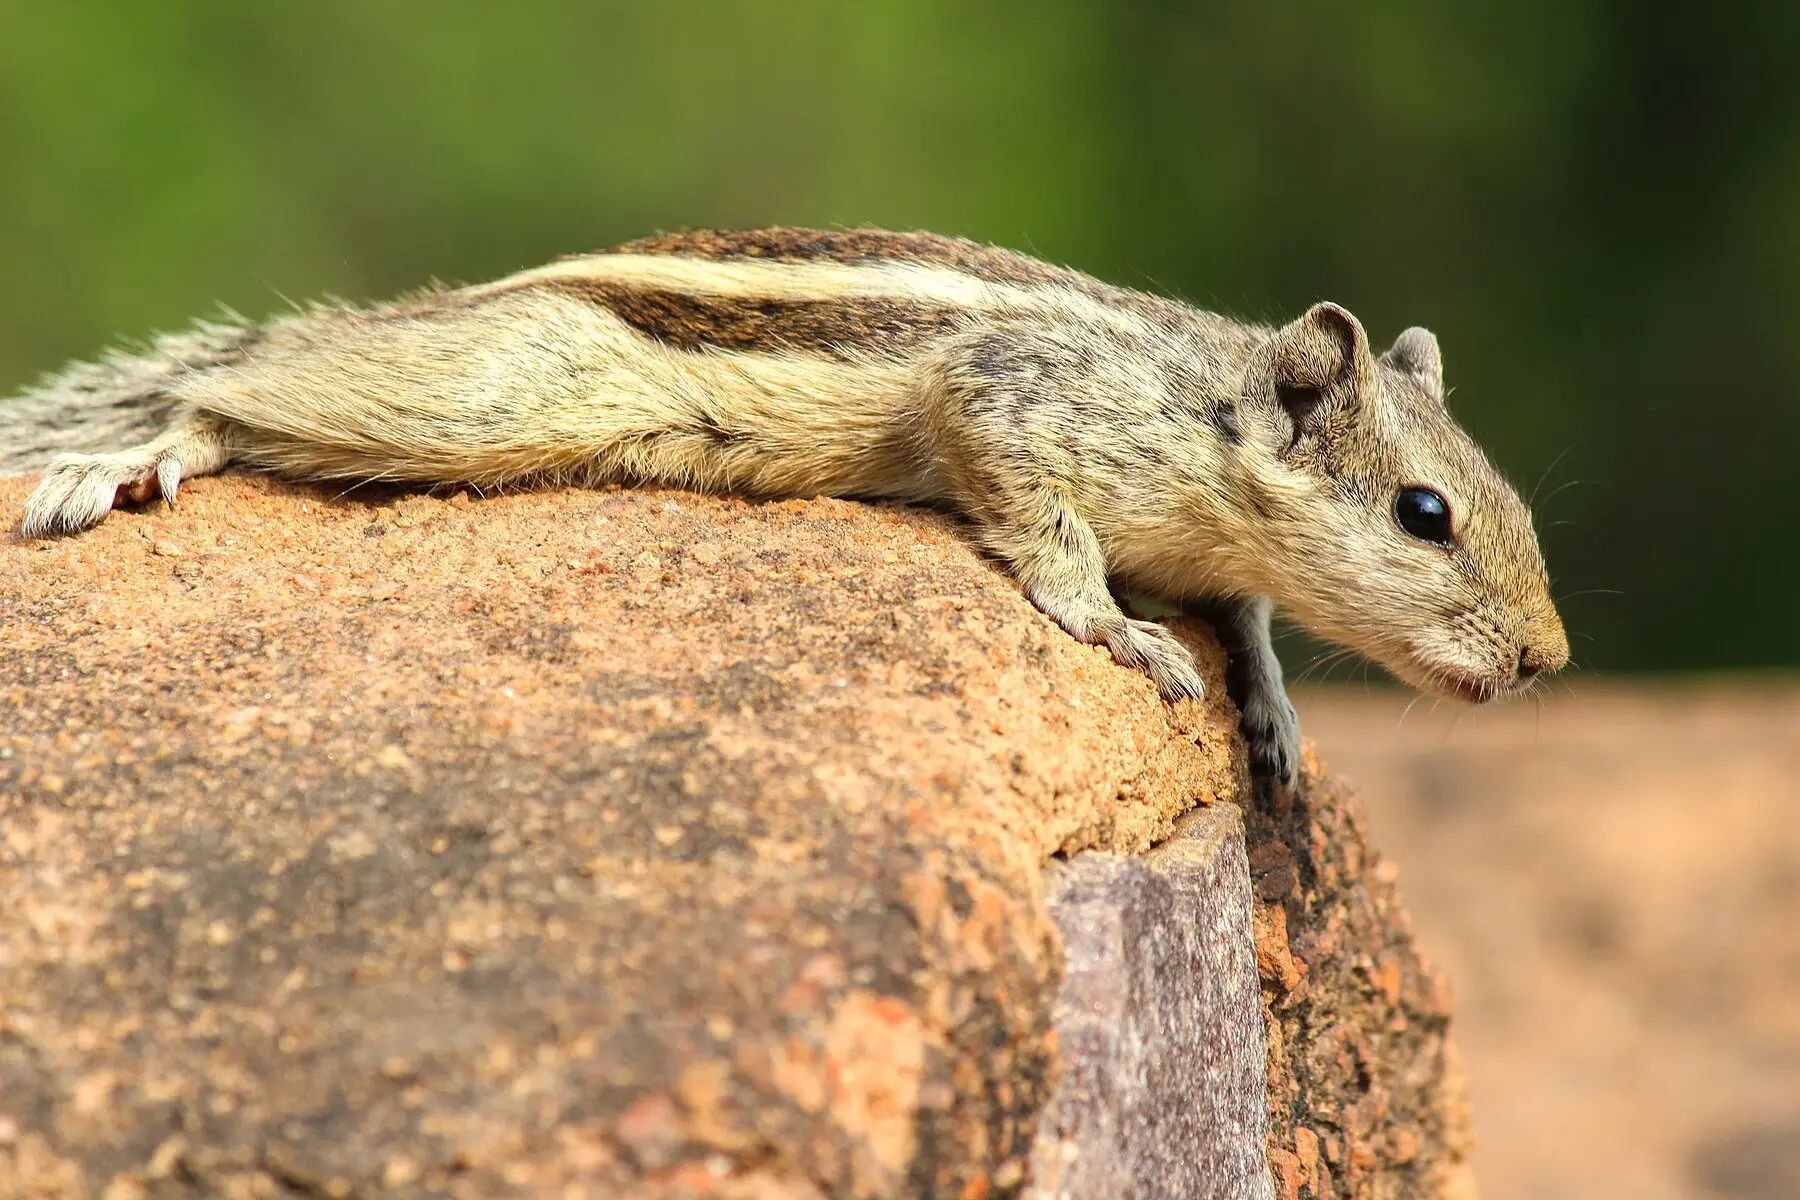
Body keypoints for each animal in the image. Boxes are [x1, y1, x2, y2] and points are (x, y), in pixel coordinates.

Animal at [2, 227, 1568, 783]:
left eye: (1503, 502)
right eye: (1426, 515)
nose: (1550, 660)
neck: (1205, 409)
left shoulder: (1213, 552)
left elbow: (1244, 619)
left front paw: (1274, 720)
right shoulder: (1008, 408)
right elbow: (1051, 540)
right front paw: (1119, 633)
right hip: (478, 399)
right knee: (243, 387)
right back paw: (129, 459)